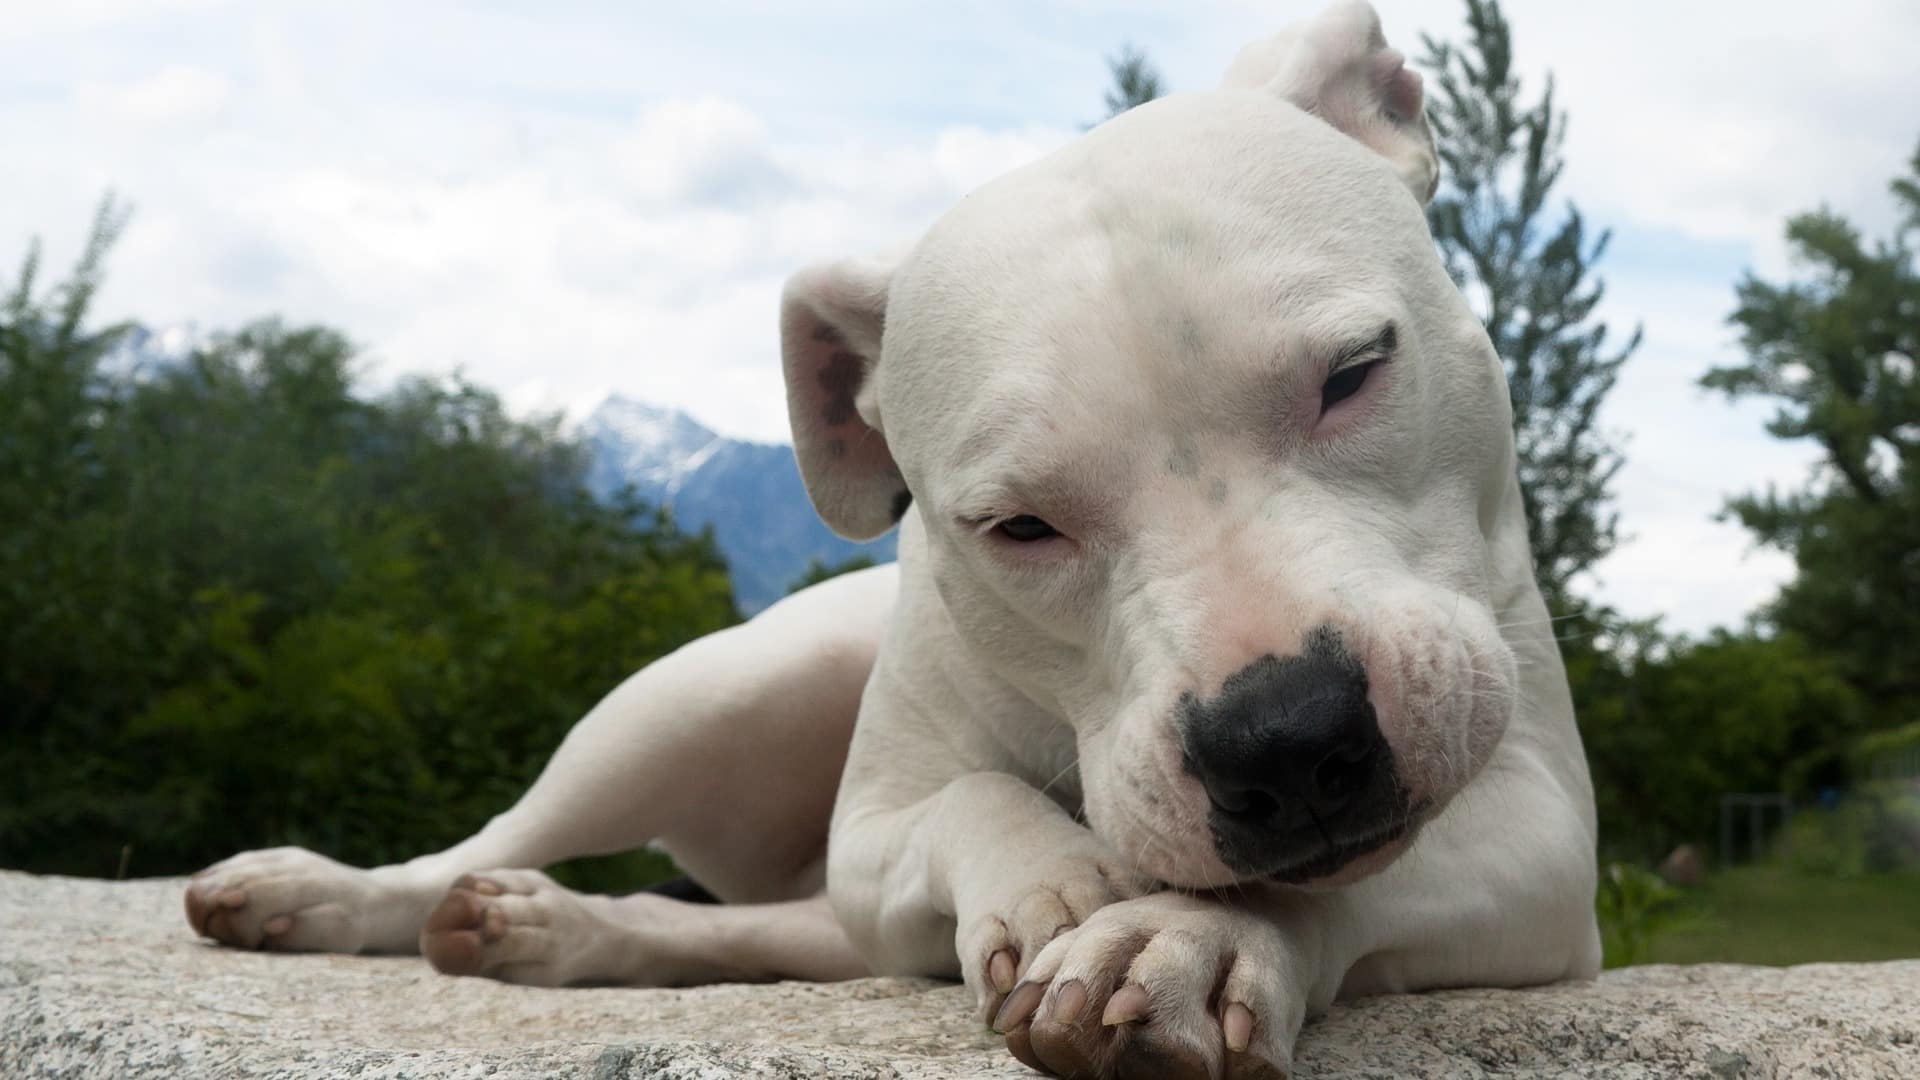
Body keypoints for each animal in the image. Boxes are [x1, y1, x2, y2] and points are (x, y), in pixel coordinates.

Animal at [191, 4, 1605, 1068]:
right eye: (1017, 525)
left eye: (1354, 374)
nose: (1289, 738)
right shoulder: (871, 839)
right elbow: (969, 798)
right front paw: (1063, 880)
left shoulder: (1545, 845)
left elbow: (1358, 873)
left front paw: (1195, 938)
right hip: (704, 693)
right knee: (500, 838)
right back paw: (327, 894)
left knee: (764, 931)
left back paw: (560, 935)